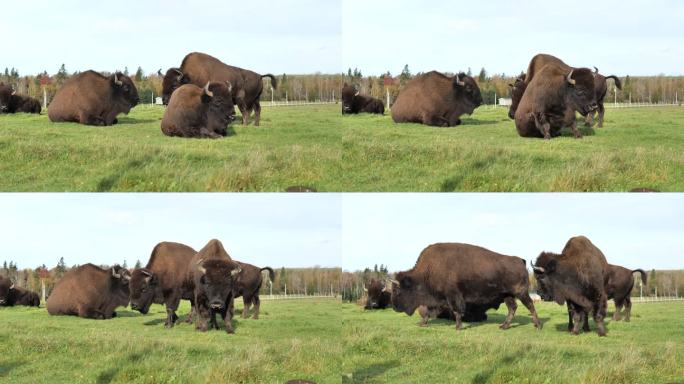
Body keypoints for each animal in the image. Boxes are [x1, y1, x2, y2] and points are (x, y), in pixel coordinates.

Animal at [390, 243, 540, 330]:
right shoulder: (436, 298)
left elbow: (456, 311)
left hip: (521, 292)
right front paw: (422, 323)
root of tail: (520, 260)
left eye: (398, 291)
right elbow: (428, 311)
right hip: (506, 295)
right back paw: (504, 326)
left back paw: (537, 325)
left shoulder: (452, 296)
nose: (395, 307)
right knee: (512, 308)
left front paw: (458, 327)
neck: (429, 269)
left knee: (530, 305)